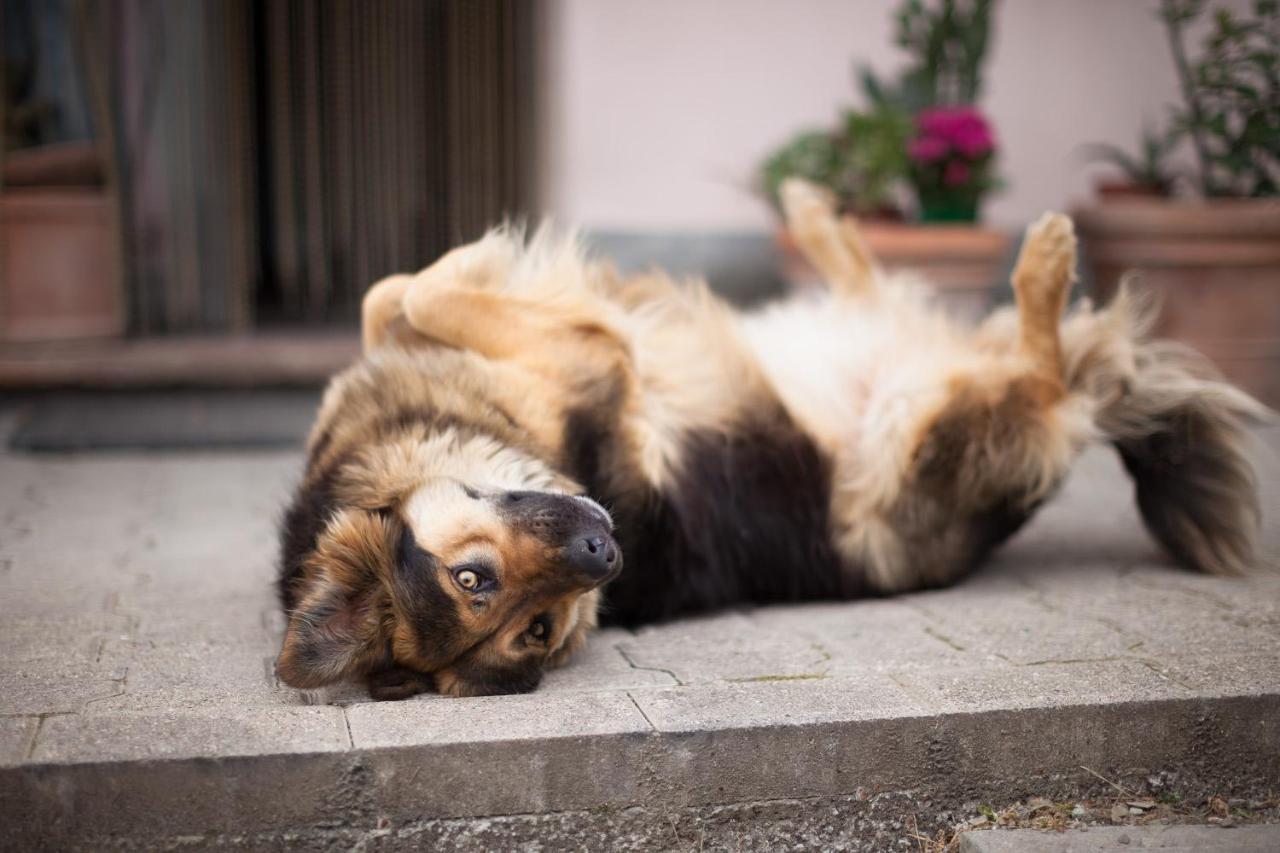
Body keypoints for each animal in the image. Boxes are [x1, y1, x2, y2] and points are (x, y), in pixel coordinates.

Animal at [275, 180, 1264, 696]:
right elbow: (432, 292)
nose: (606, 550)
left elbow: (393, 292)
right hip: (928, 432)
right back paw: (1044, 264)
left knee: (881, 289)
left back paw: (819, 213)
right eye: (533, 627)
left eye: (472, 575)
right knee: (1050, 378)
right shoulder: (597, 359)